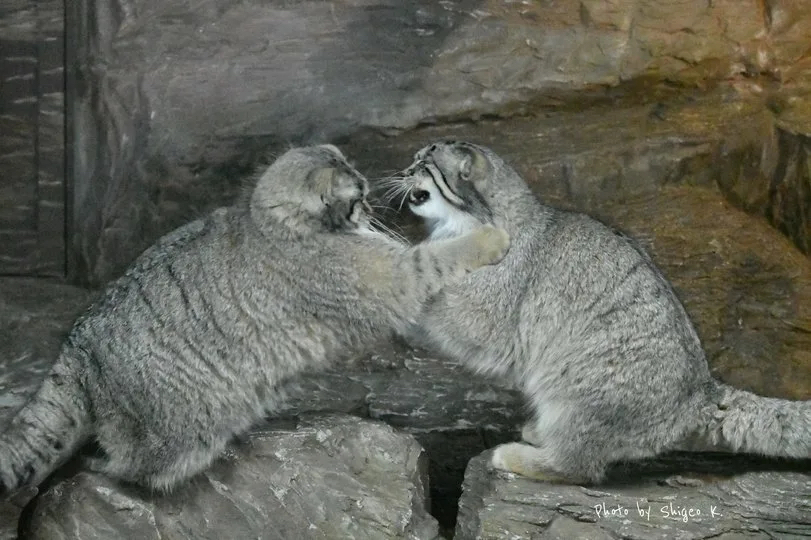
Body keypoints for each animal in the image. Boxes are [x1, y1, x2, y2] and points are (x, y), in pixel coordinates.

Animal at [0, 144, 510, 498]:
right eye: (359, 196)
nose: (372, 209)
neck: (267, 218)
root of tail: (78, 350)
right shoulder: (391, 277)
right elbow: (433, 259)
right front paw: (490, 237)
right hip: (180, 427)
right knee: (127, 465)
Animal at [390, 140, 808, 486]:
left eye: (423, 164)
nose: (401, 170)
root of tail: (700, 392)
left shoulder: (491, 312)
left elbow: (447, 303)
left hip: (579, 385)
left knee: (579, 468)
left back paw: (520, 457)